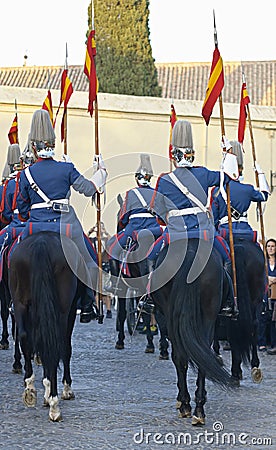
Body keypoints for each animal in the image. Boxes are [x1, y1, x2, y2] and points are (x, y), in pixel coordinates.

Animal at [8, 232, 88, 422]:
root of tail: (41, 242)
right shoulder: (71, 310)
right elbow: (65, 348)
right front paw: (63, 389)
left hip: (20, 303)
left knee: (25, 337)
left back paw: (30, 388)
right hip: (63, 309)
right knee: (57, 342)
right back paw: (54, 403)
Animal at [150, 239, 234, 426]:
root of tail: (189, 254)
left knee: (184, 357)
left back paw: (188, 406)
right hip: (206, 315)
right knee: (199, 356)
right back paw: (196, 409)